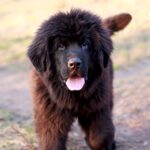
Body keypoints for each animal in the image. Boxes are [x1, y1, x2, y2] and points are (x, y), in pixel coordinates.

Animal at [27, 8, 131, 149]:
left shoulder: (97, 107)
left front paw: (101, 144)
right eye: (60, 46)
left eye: (84, 44)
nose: (74, 64)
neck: (74, 95)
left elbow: (100, 135)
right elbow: (52, 140)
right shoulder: (50, 115)